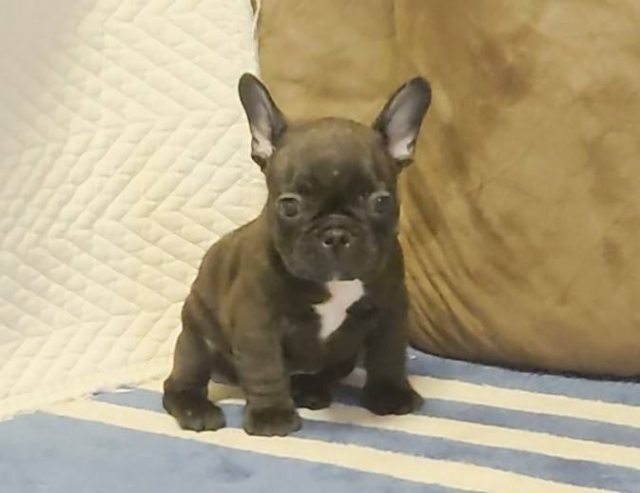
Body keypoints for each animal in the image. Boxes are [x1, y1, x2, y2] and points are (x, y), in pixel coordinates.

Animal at [162, 73, 432, 436]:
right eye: (290, 206)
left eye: (380, 202)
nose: (336, 233)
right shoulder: (258, 321)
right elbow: (265, 369)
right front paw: (272, 415)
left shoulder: (390, 309)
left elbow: (388, 354)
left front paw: (390, 394)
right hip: (196, 339)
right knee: (182, 379)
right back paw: (195, 409)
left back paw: (310, 389)